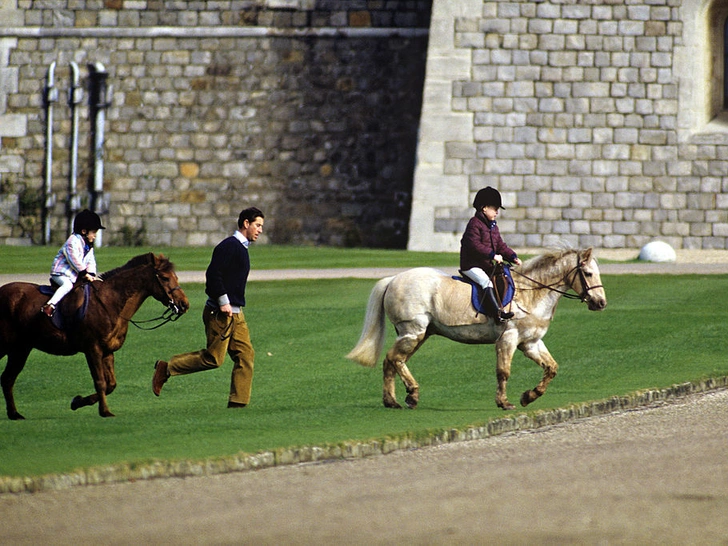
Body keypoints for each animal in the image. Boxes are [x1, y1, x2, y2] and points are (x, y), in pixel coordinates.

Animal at [0, 253, 191, 418]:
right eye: (165, 277)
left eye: (176, 276)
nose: (184, 304)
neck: (110, 302)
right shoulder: (93, 350)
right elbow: (100, 381)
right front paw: (104, 411)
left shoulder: (107, 352)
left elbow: (111, 384)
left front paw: (78, 401)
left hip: (20, 350)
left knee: (7, 378)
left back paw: (14, 414)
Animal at [346, 246, 604, 408]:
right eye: (588, 273)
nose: (601, 303)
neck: (530, 294)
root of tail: (393, 279)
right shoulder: (508, 338)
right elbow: (503, 371)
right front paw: (504, 402)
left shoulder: (530, 343)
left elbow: (551, 368)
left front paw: (528, 397)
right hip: (412, 332)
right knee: (394, 359)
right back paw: (410, 394)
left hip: (418, 335)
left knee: (392, 361)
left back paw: (395, 400)